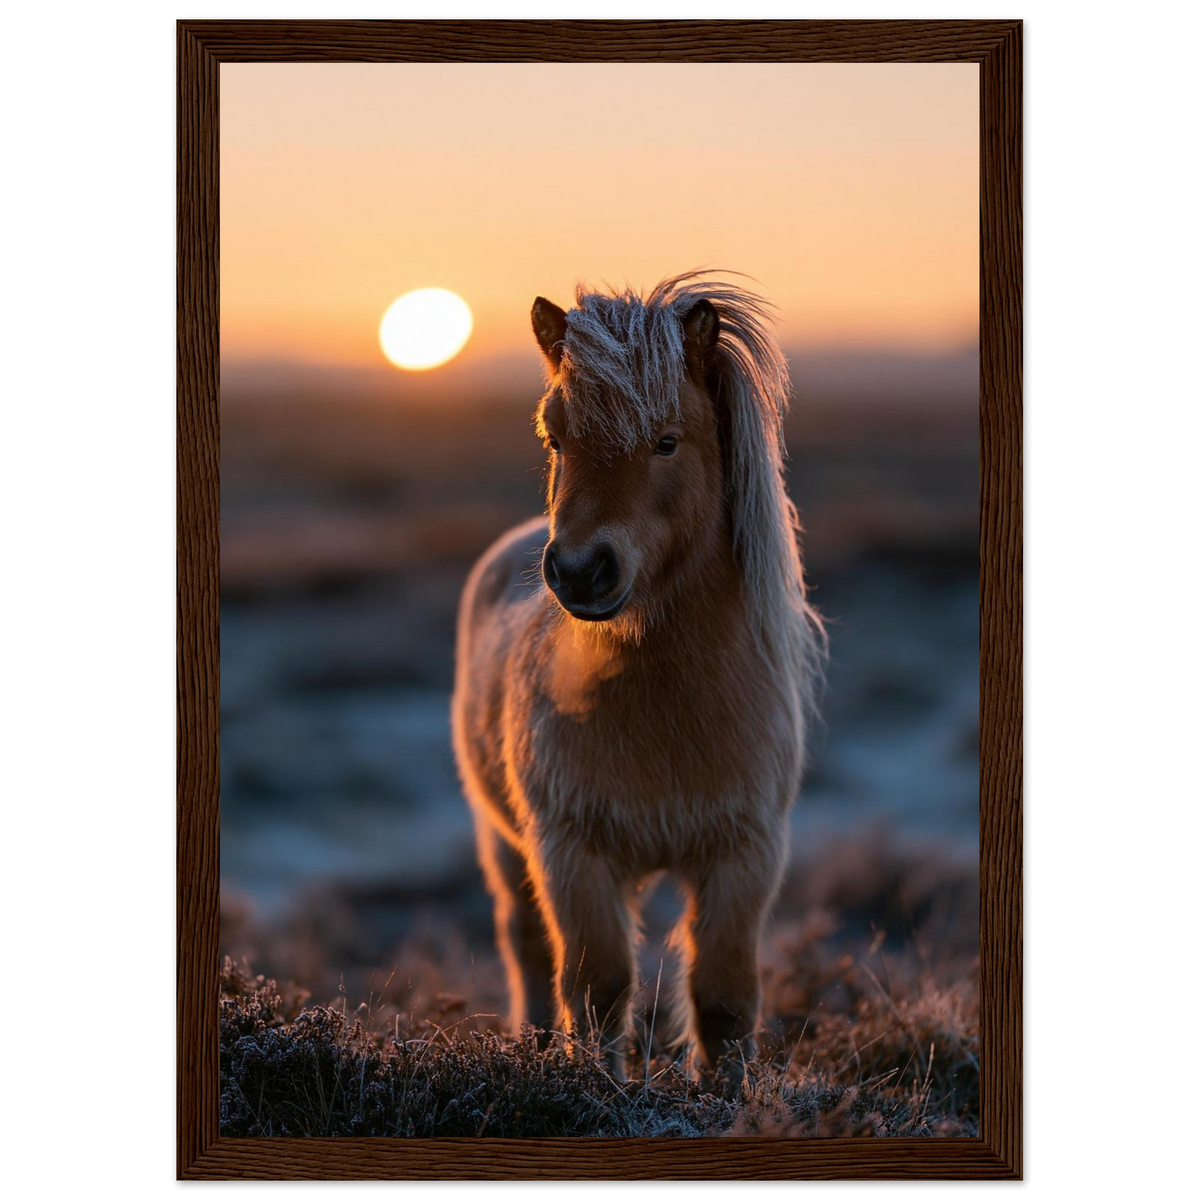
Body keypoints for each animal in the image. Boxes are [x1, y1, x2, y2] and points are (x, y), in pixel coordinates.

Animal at [451, 272, 824, 1085]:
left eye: (667, 440)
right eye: (554, 437)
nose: (580, 570)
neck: (665, 711)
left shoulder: (745, 855)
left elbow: (722, 998)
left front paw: (728, 1096)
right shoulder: (571, 853)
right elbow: (597, 988)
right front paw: (596, 1089)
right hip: (504, 843)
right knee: (526, 947)